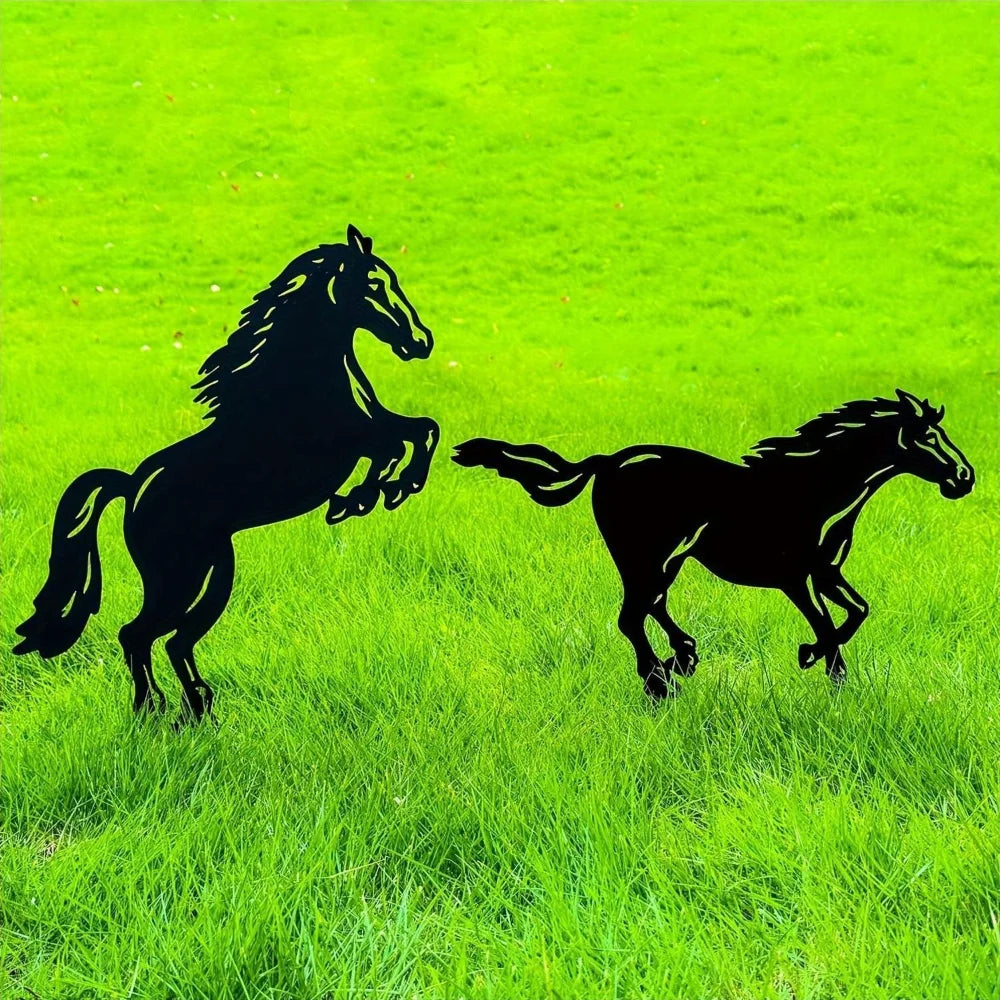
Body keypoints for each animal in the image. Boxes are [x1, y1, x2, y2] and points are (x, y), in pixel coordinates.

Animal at [14, 225, 440, 722]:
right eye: (373, 284)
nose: (421, 342)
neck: (303, 380)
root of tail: (131, 486)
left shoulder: (376, 426)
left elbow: (423, 430)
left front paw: (384, 493)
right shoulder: (357, 441)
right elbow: (400, 446)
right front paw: (363, 499)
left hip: (214, 571)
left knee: (172, 642)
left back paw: (197, 712)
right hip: (181, 577)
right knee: (137, 635)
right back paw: (153, 711)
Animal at [452, 389, 974, 698]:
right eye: (929, 436)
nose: (963, 478)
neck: (817, 489)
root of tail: (605, 462)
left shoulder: (826, 573)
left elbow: (857, 612)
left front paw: (834, 676)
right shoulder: (797, 577)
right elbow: (827, 624)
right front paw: (815, 660)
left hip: (665, 560)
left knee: (650, 606)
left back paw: (682, 657)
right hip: (647, 556)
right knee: (632, 616)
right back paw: (660, 682)